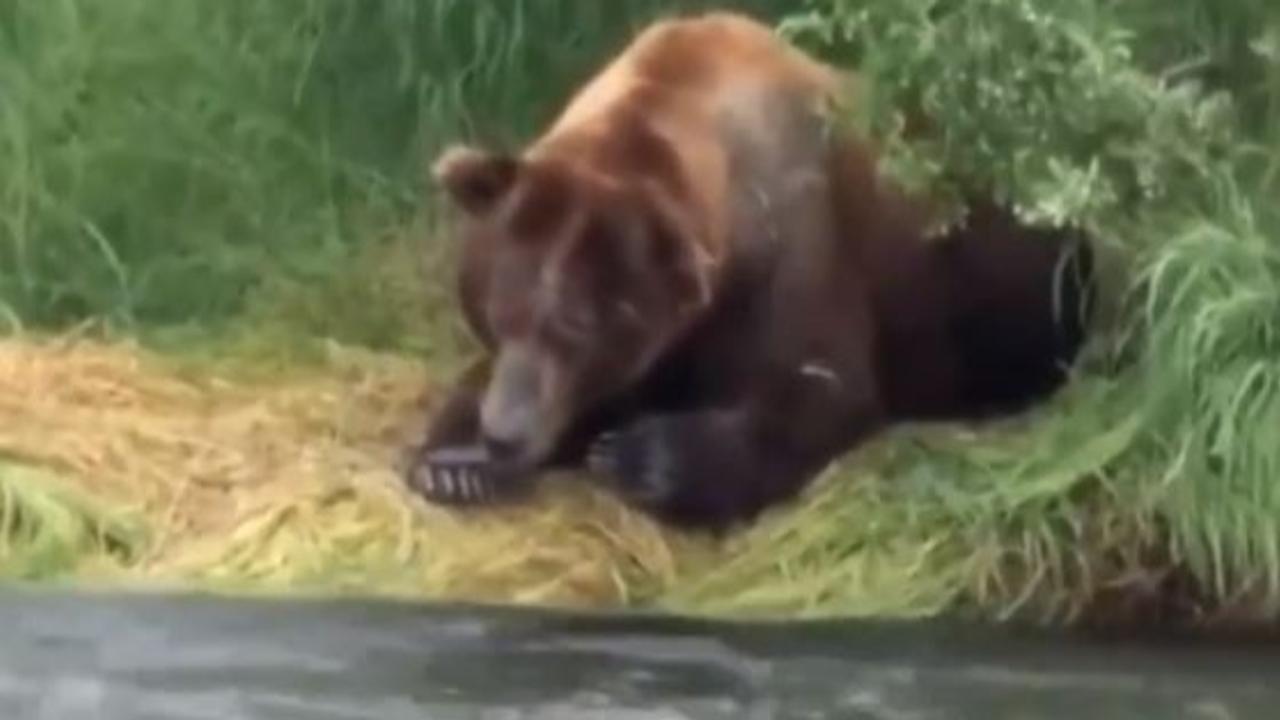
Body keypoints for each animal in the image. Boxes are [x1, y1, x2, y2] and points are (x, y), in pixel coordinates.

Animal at [404, 11, 1095, 527]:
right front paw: (454, 459)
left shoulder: (797, 245)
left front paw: (639, 456)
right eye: (497, 308)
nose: (504, 433)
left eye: (577, 323)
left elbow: (816, 385)